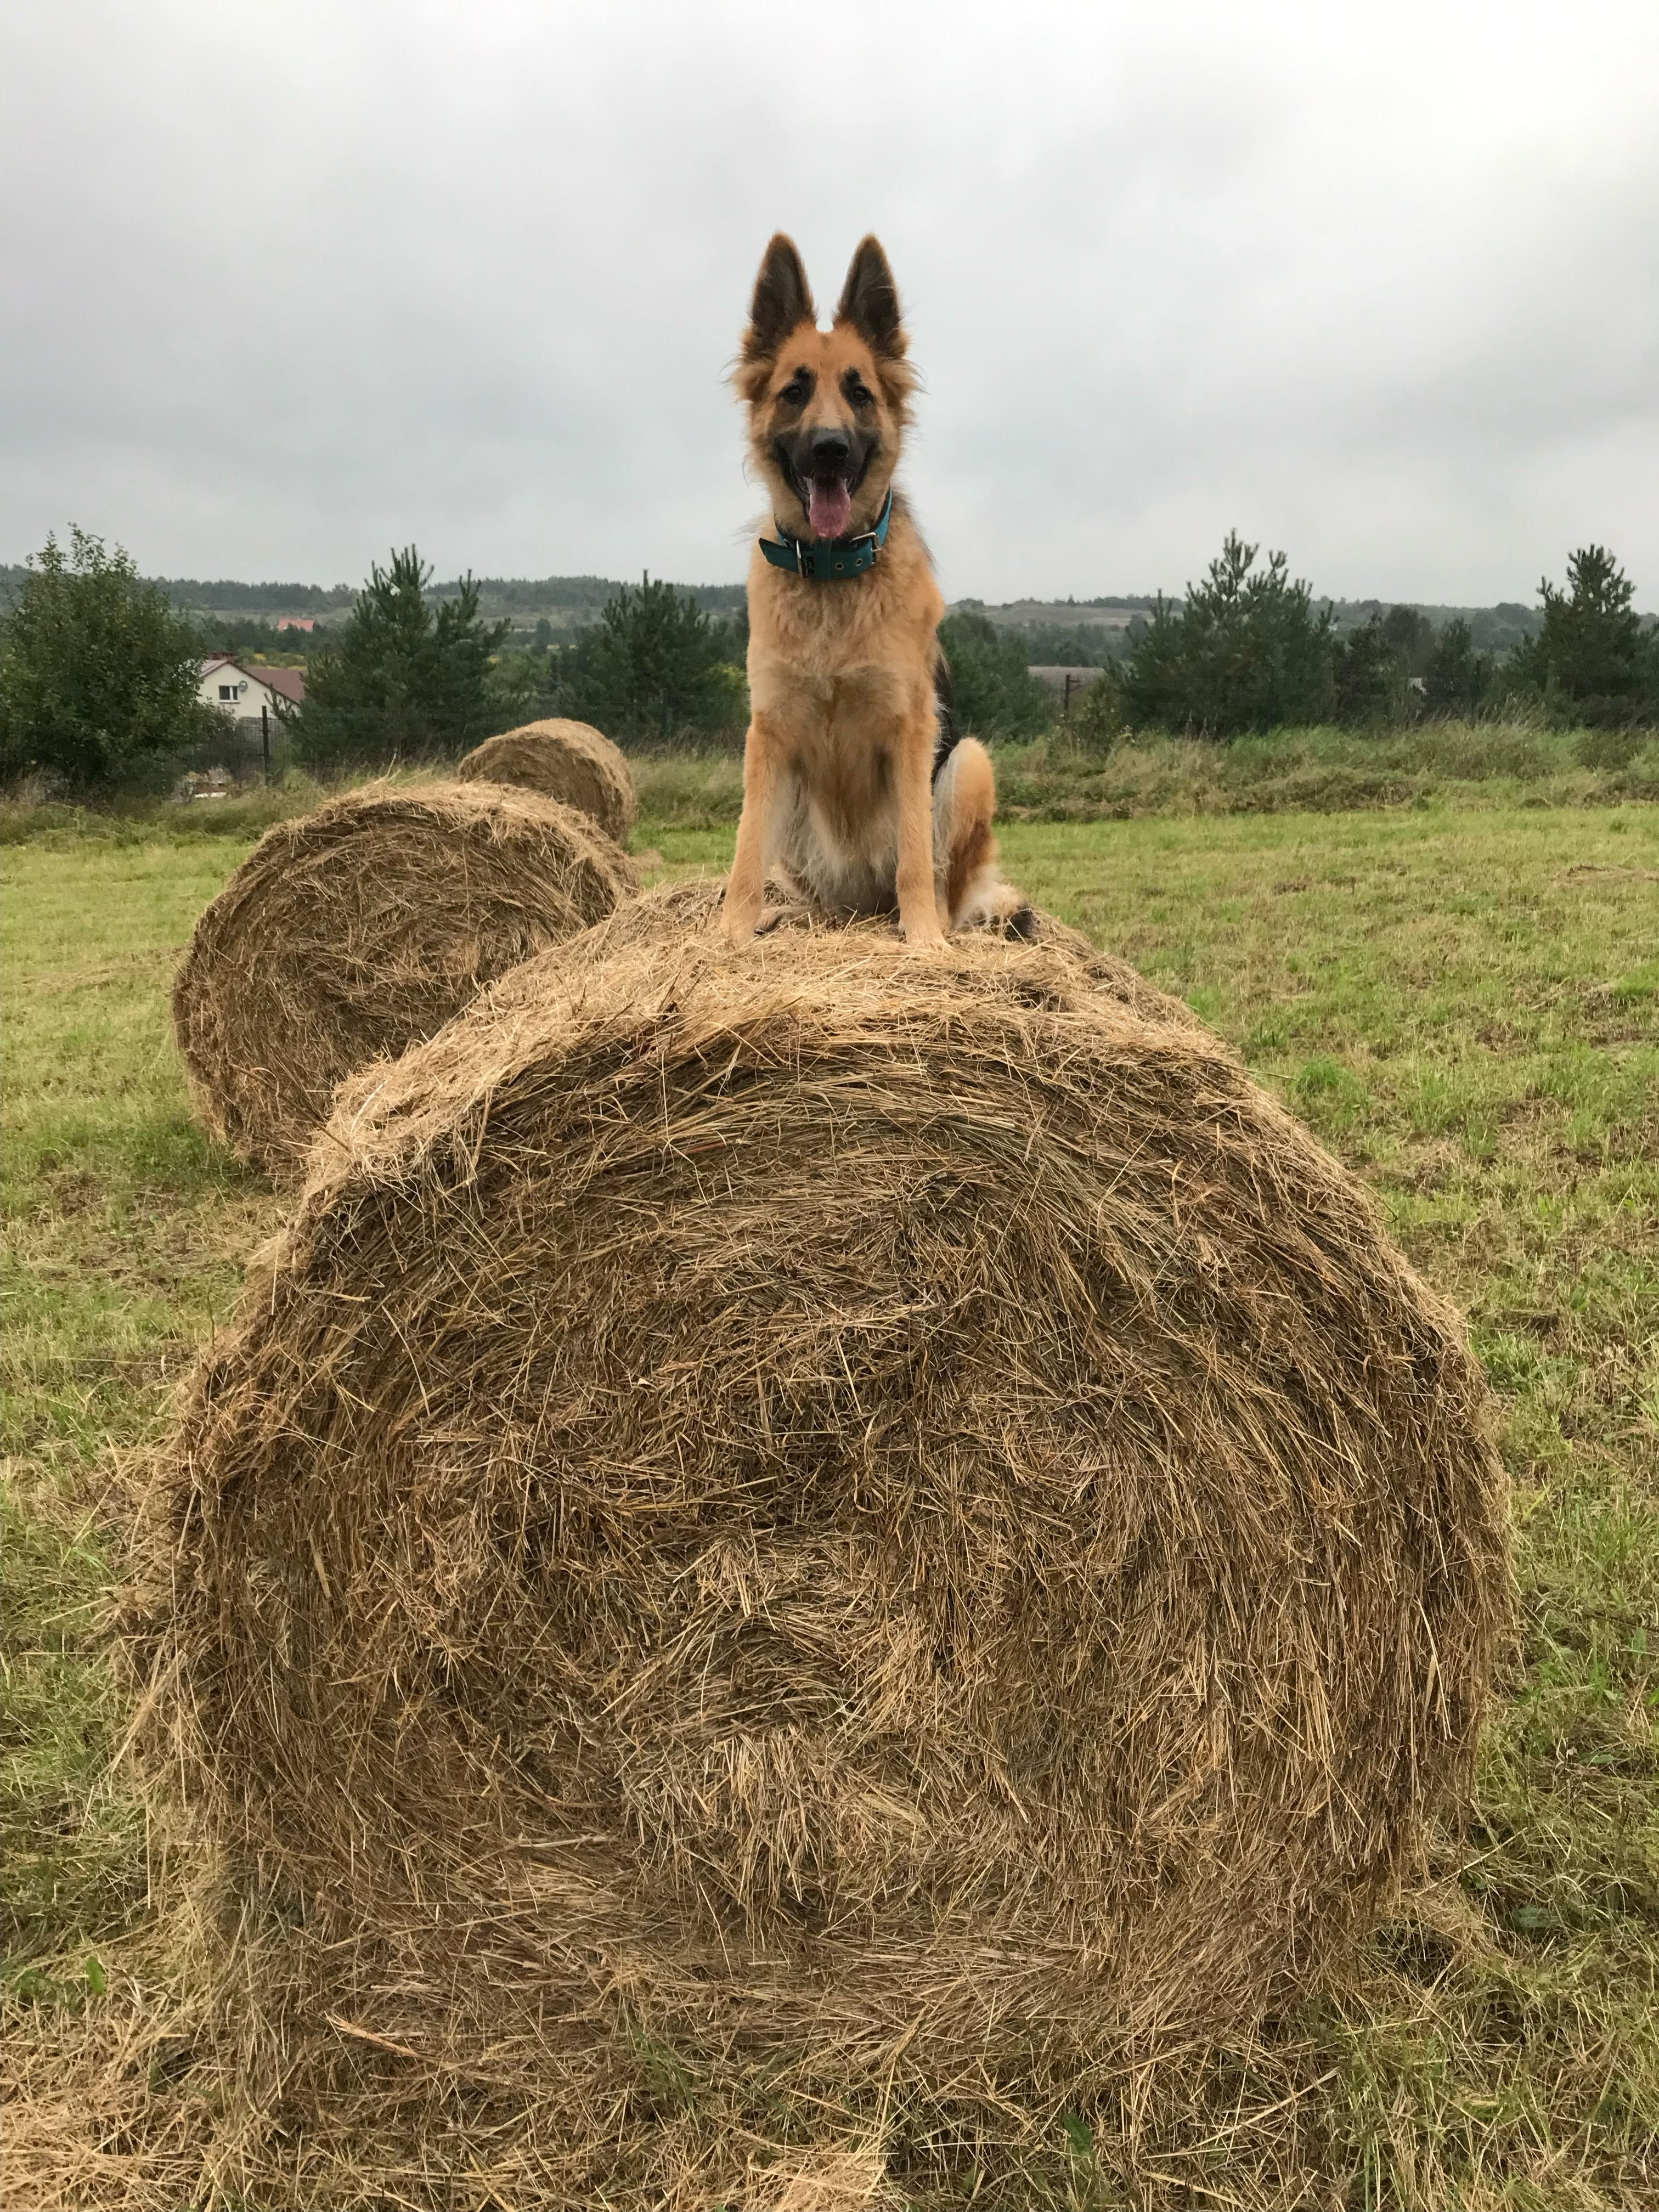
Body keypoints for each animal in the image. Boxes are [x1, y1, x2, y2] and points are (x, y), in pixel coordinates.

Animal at [721, 233, 1035, 951]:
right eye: (795, 391)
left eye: (859, 393)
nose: (830, 450)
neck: (833, 575)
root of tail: (861, 911)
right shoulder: (767, 734)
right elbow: (746, 852)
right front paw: (729, 934)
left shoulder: (912, 728)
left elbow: (916, 856)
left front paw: (923, 943)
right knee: (806, 889)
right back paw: (790, 917)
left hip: (967, 761)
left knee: (943, 884)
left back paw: (938, 924)